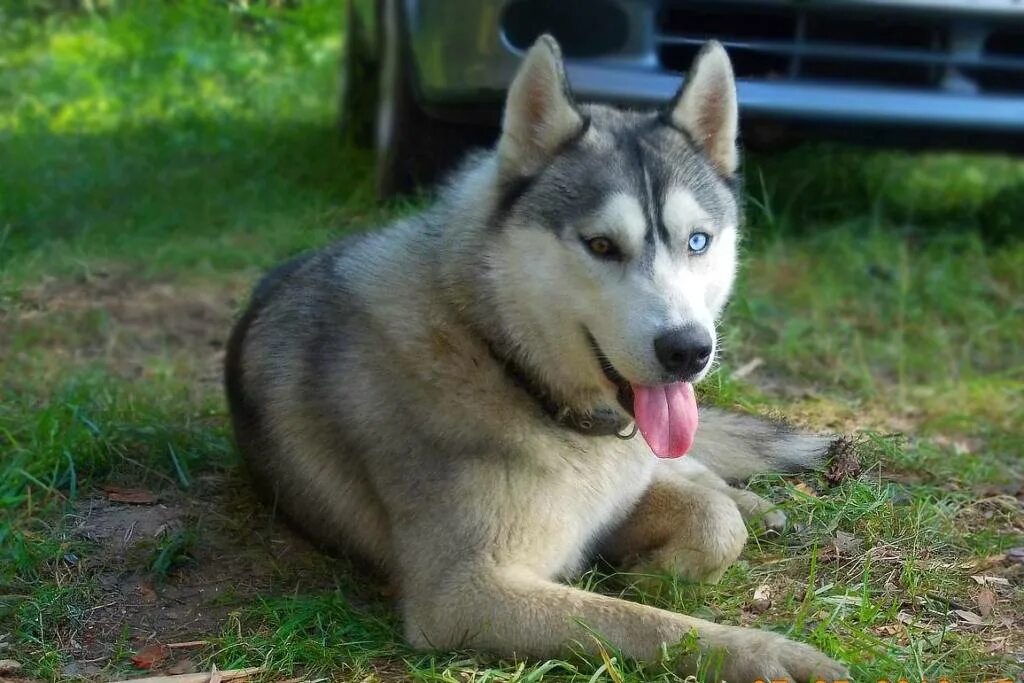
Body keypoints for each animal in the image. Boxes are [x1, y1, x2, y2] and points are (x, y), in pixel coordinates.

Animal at [226, 38, 847, 683]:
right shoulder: (465, 594)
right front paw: (752, 648)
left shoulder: (613, 497)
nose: (688, 351)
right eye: (601, 245)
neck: (503, 360)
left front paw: (661, 566)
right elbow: (647, 622)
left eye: (697, 241)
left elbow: (715, 523)